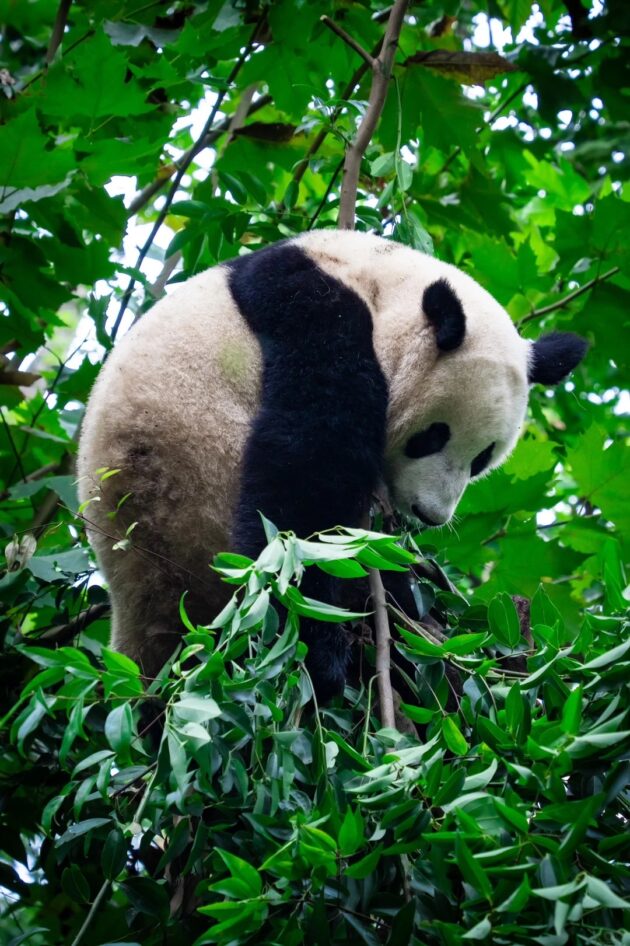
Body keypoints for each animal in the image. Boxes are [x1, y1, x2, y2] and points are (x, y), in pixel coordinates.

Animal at [78, 230, 587, 699]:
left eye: (482, 459)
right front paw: (320, 648)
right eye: (433, 437)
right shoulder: (309, 307)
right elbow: (309, 458)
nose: (431, 515)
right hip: (190, 500)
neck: (377, 276)